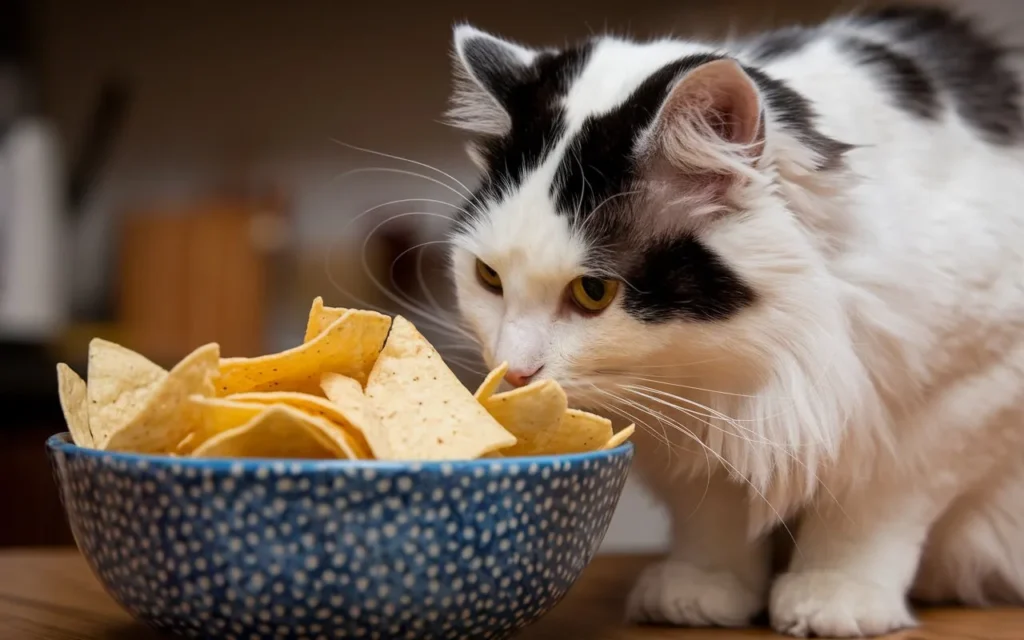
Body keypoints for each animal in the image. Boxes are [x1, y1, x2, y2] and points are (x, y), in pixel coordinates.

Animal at [444, 6, 1024, 638]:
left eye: (593, 292)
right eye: (489, 278)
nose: (514, 371)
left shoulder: (967, 390)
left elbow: (876, 501)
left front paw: (836, 593)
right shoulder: (686, 418)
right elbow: (710, 504)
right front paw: (704, 587)